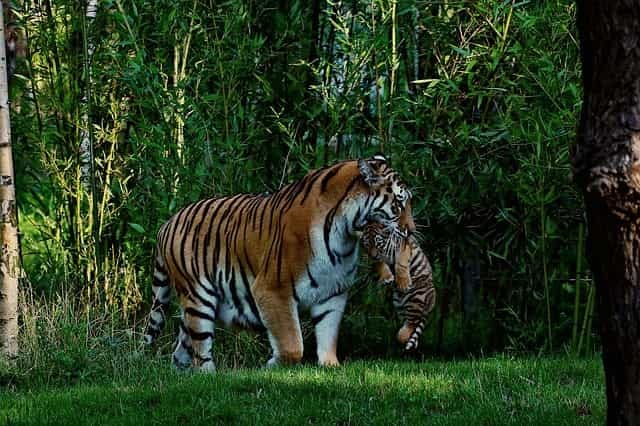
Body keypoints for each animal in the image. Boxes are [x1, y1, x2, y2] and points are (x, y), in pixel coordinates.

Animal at [143, 154, 413, 371]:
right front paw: (272, 365)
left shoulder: (333, 293)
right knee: (201, 348)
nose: (411, 231)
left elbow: (328, 333)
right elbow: (292, 344)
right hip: (199, 297)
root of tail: (167, 223)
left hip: (193, 306)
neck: (345, 234)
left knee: (180, 349)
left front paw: (330, 366)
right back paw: (210, 375)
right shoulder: (273, 290)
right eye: (399, 203)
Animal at [361, 203, 436, 351]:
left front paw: (403, 282)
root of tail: (431, 304)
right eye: (367, 244)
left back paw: (401, 335)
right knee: (412, 322)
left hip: (417, 297)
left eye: (378, 243)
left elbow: (400, 263)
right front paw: (387, 277)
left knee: (413, 321)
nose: (373, 255)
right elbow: (380, 263)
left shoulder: (403, 246)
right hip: (399, 305)